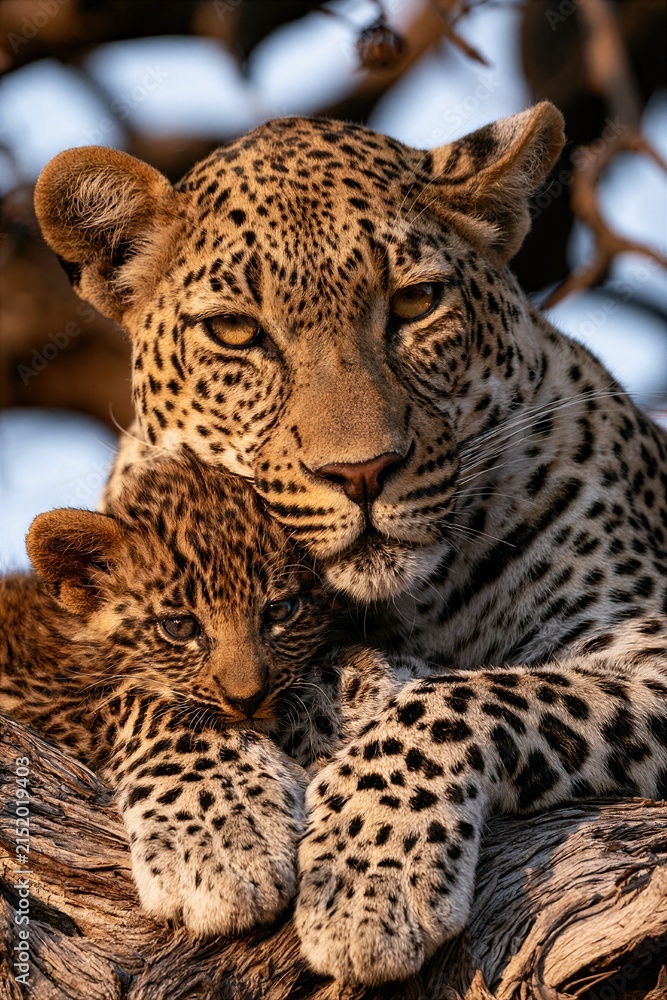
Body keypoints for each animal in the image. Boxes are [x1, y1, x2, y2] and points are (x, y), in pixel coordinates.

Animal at [1, 449, 398, 937]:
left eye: (280, 610)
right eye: (179, 626)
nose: (247, 699)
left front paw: (349, 681)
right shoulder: (39, 696)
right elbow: (149, 703)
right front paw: (229, 837)